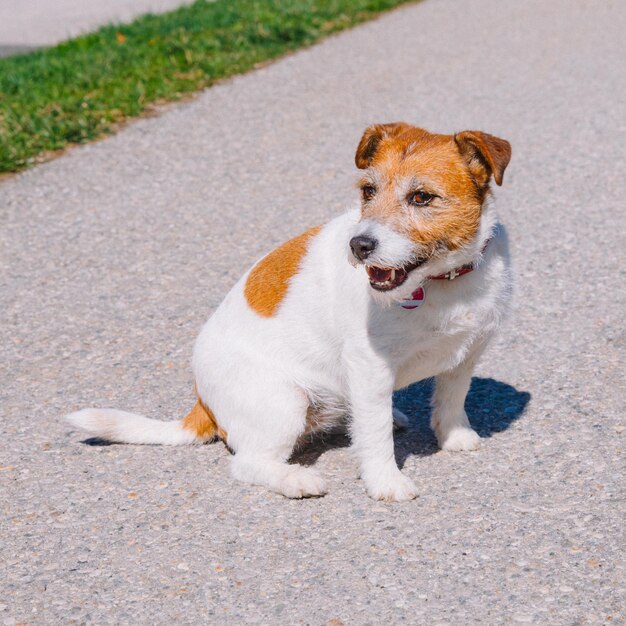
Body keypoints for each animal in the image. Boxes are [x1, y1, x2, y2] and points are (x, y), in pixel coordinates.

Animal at [66, 124, 510, 500]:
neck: (443, 281)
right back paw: (296, 479)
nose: (358, 246)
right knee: (247, 463)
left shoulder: (466, 355)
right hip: (286, 400)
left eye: (421, 197)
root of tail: (202, 403)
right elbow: (376, 434)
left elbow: (451, 398)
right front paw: (386, 481)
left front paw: (454, 436)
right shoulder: (369, 365)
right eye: (368, 191)